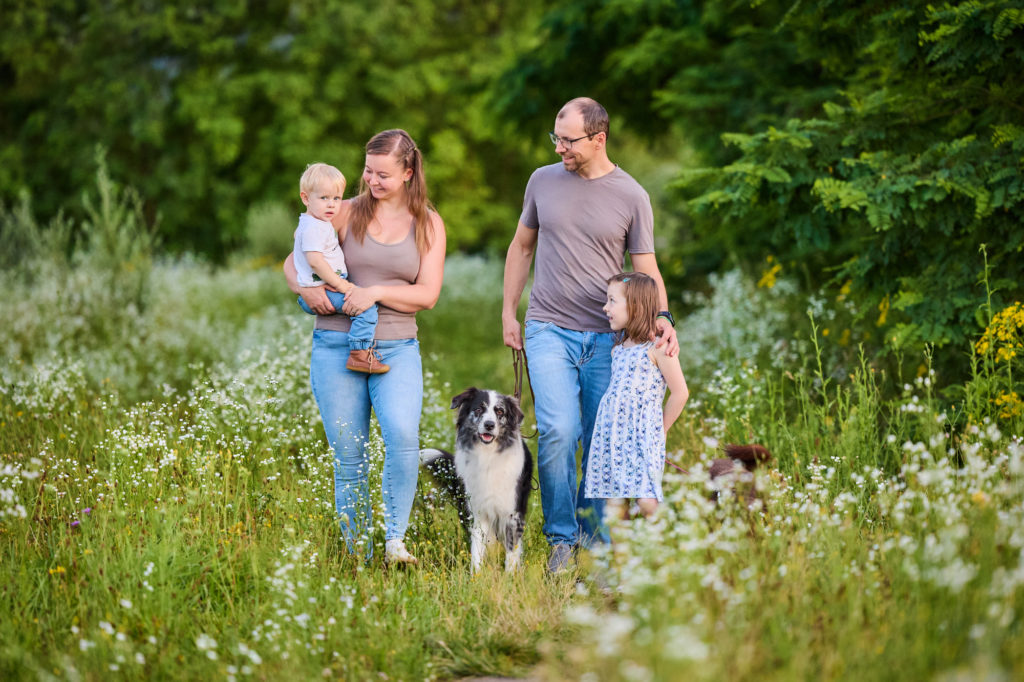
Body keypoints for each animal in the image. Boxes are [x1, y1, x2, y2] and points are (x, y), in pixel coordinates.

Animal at [419, 387, 536, 569]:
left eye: (500, 411)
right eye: (479, 409)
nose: (489, 425)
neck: (488, 456)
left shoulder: (512, 513)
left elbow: (511, 553)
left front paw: (511, 575)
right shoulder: (477, 512)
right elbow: (477, 550)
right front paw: (476, 574)